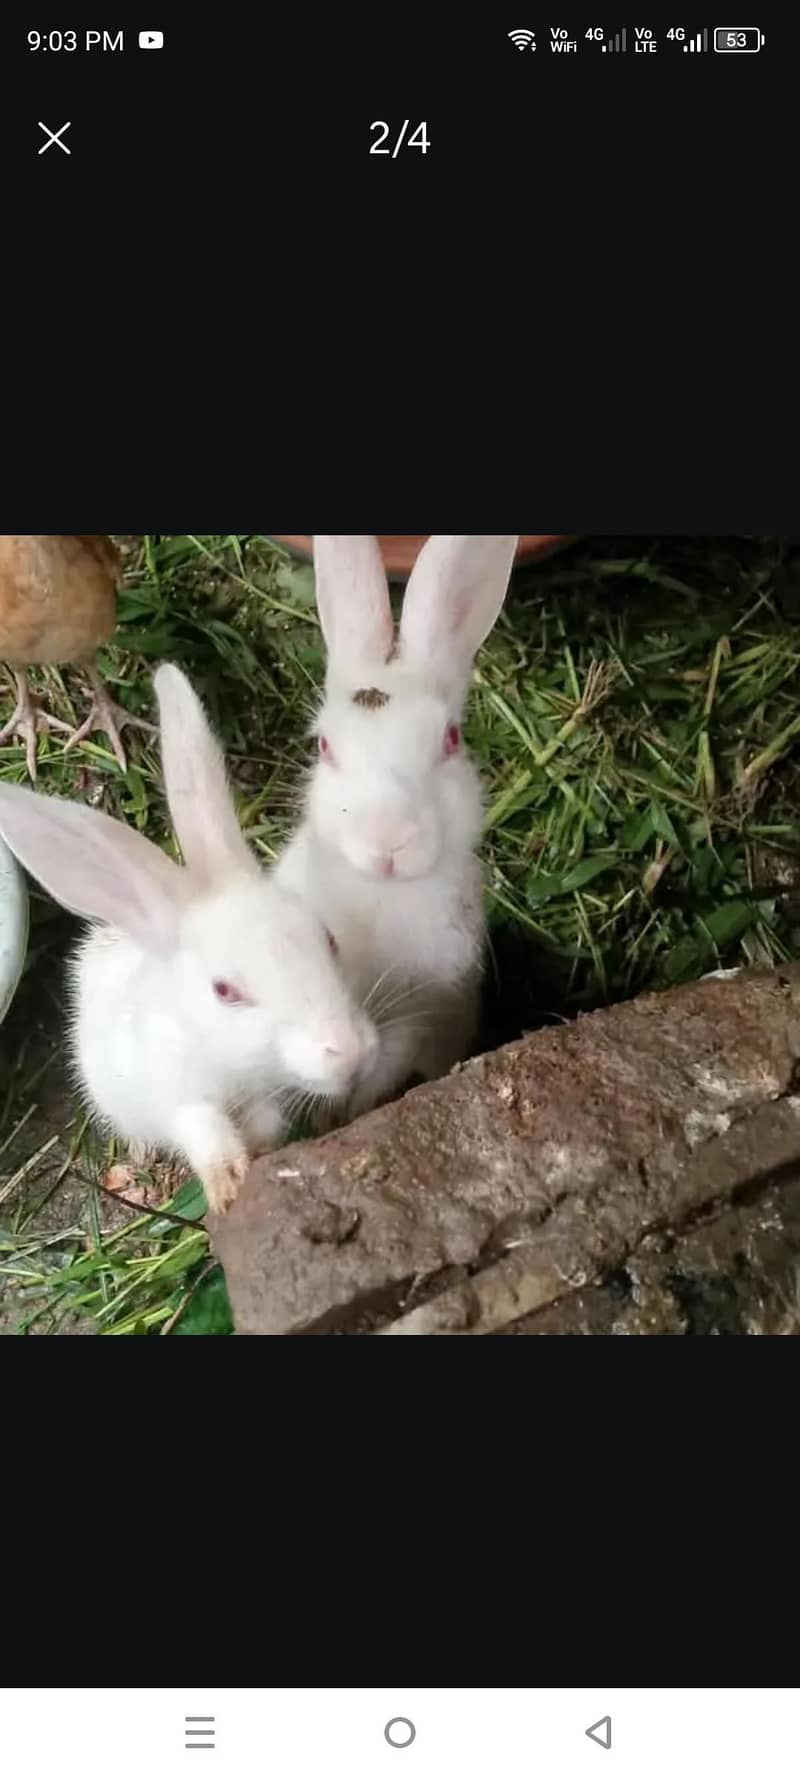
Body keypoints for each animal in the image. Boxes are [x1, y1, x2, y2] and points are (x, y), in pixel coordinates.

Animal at [0, 662, 378, 1214]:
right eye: (224, 991)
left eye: (327, 939)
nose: (348, 1051)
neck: (231, 1061)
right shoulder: (180, 1097)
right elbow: (205, 1132)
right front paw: (227, 1186)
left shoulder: (264, 1095)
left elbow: (265, 1123)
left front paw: (261, 1152)